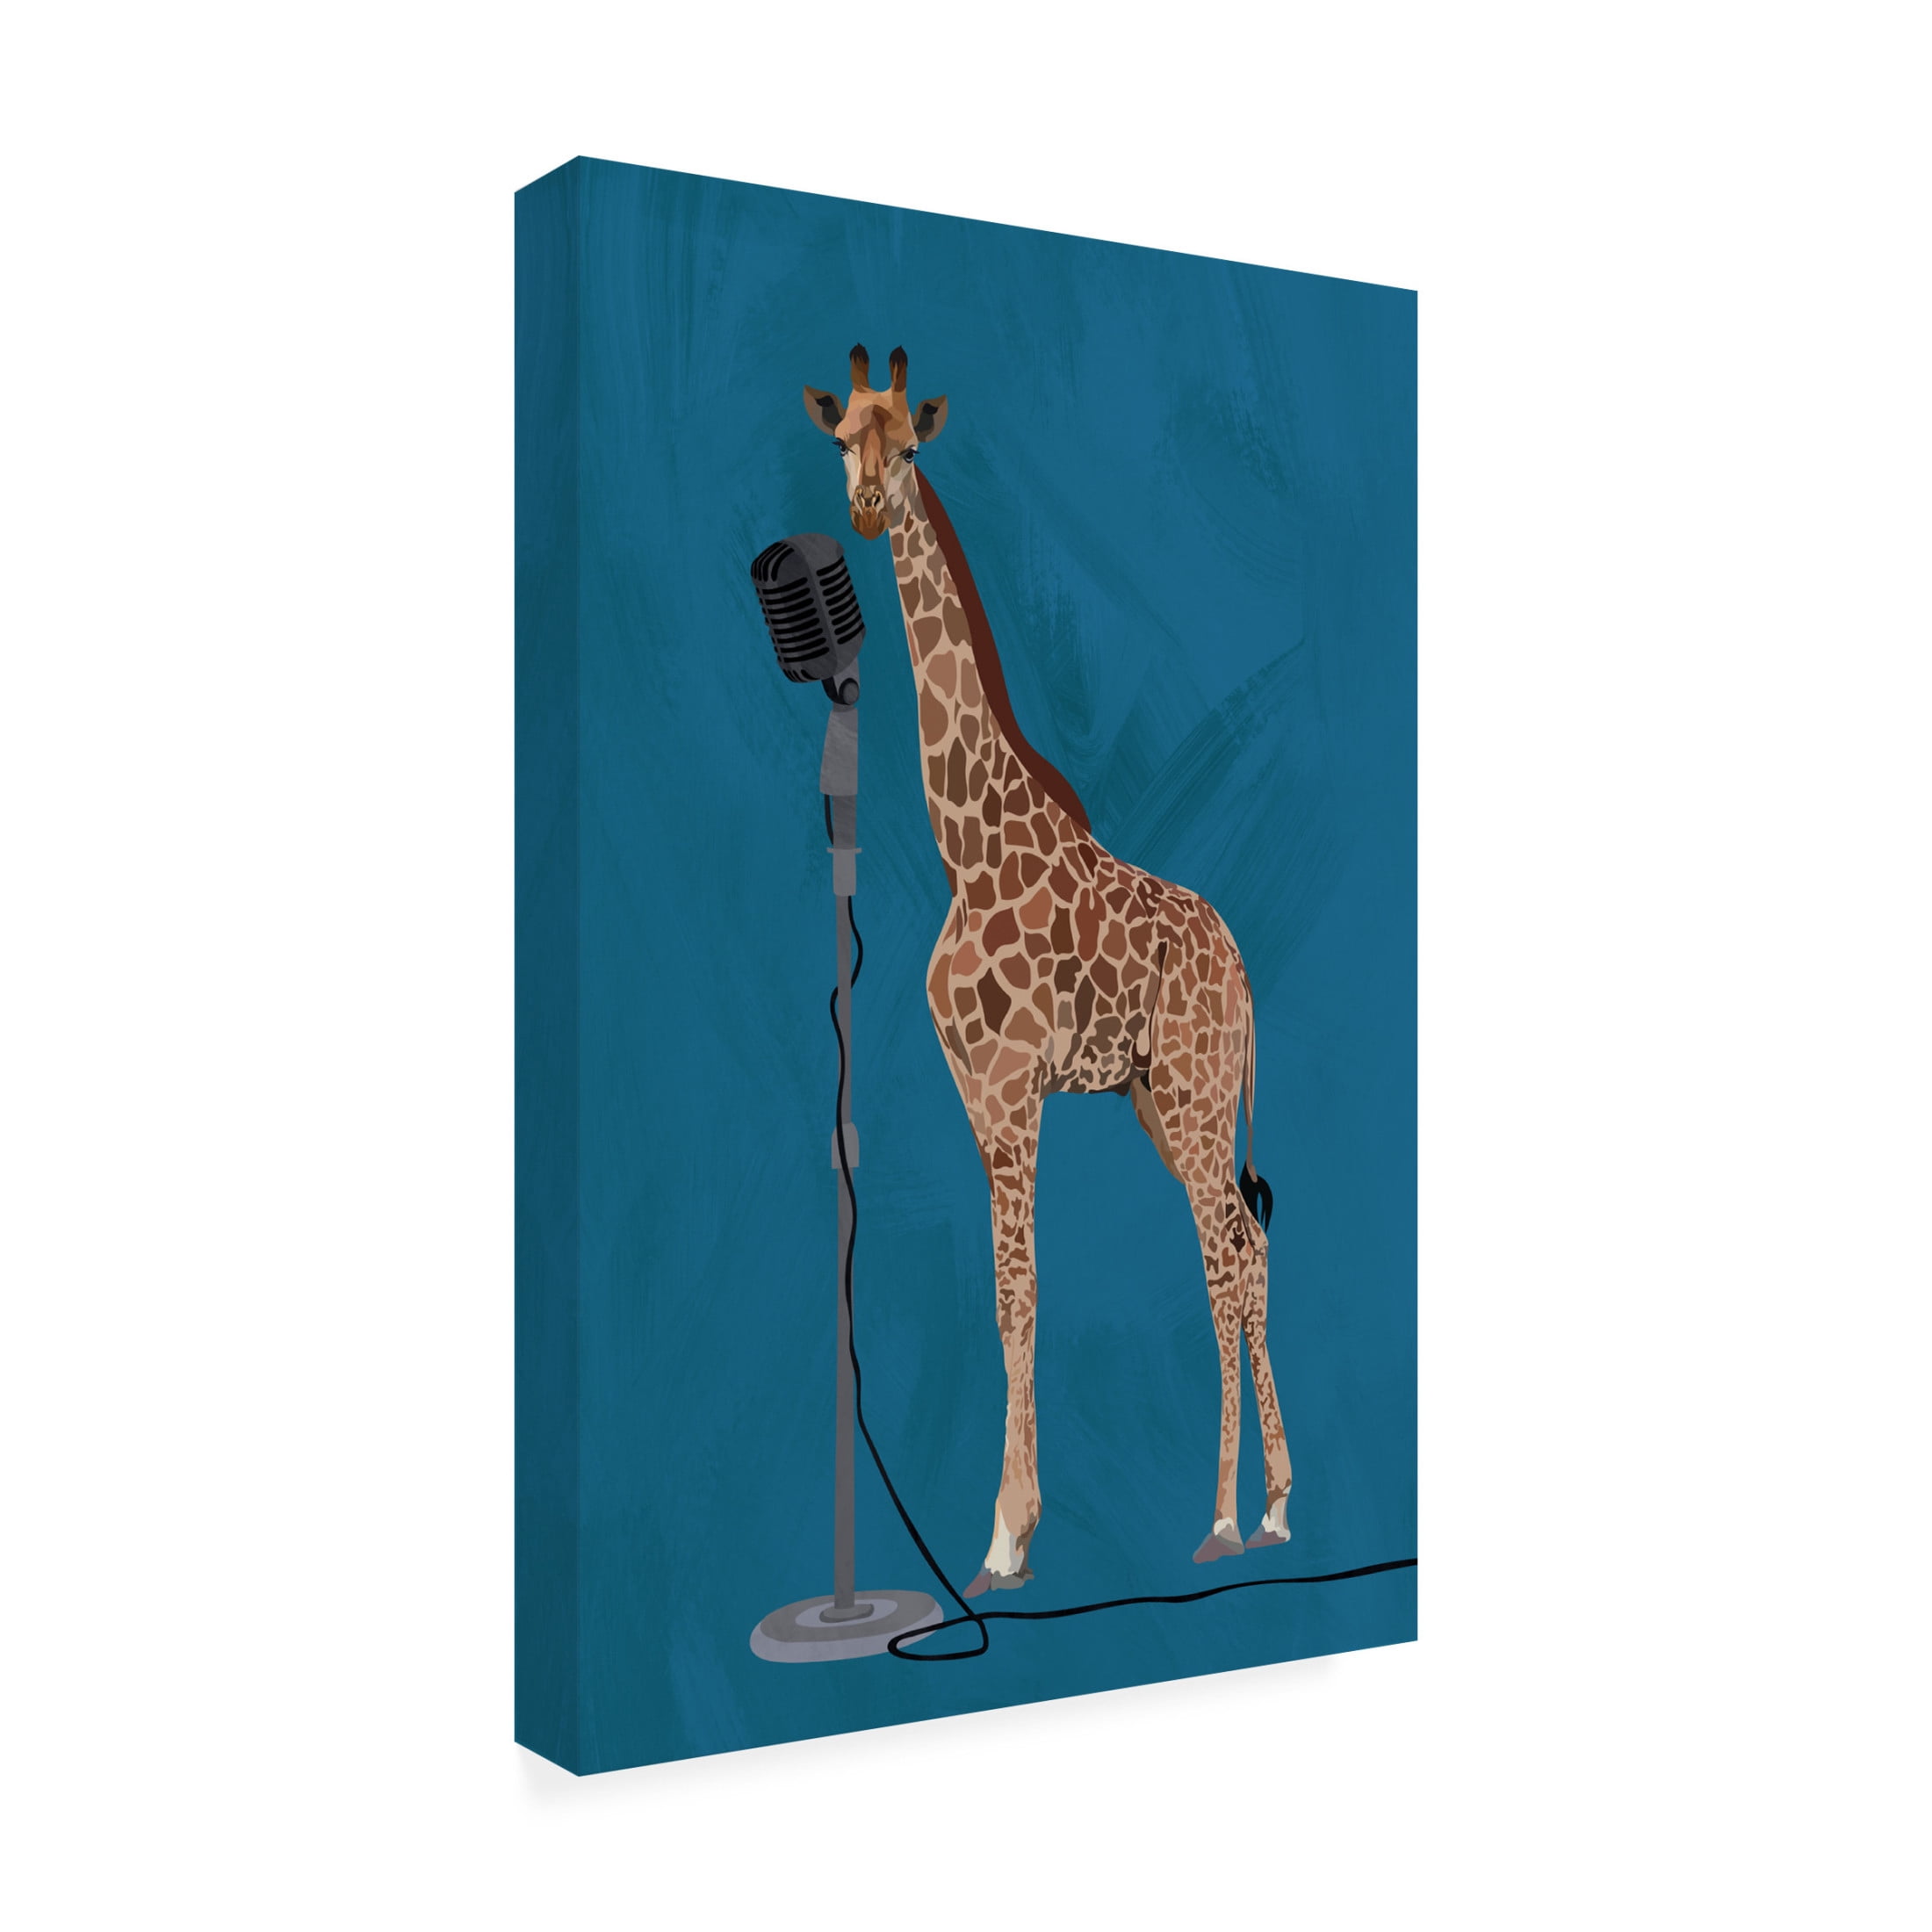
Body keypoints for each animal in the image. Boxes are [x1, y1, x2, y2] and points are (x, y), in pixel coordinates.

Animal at [802, 344, 1293, 1594]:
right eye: (842, 439)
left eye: (908, 444)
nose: (866, 508)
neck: (965, 846)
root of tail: (1244, 970)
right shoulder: (978, 1096)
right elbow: (1001, 1294)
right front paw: (1009, 1527)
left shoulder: (1019, 1088)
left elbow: (1020, 1291)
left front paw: (1004, 1534)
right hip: (1160, 1101)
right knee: (1242, 1242)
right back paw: (1263, 1504)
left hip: (1196, 1093)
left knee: (1226, 1253)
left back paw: (1233, 1516)